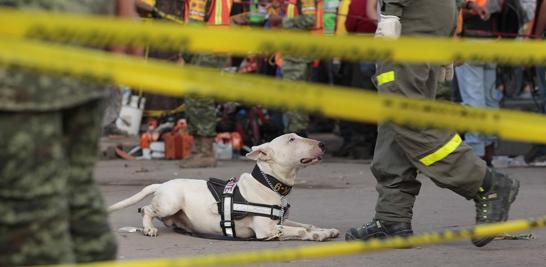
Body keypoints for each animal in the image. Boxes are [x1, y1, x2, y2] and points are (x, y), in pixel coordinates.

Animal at [108, 134, 338, 243]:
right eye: (291, 139)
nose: (323, 145)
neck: (269, 183)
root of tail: (163, 183)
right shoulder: (267, 230)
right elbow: (299, 230)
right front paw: (317, 235)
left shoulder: (280, 220)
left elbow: (305, 224)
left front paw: (326, 230)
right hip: (170, 203)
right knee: (146, 210)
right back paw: (149, 228)